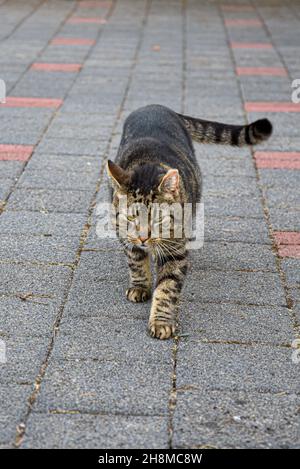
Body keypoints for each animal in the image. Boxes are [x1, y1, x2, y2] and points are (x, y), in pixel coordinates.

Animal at [106, 104, 274, 338]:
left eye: (158, 219)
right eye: (131, 216)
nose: (143, 238)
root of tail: (155, 106)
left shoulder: (175, 251)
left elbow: (167, 287)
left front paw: (161, 321)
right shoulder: (125, 236)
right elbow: (136, 262)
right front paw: (140, 286)